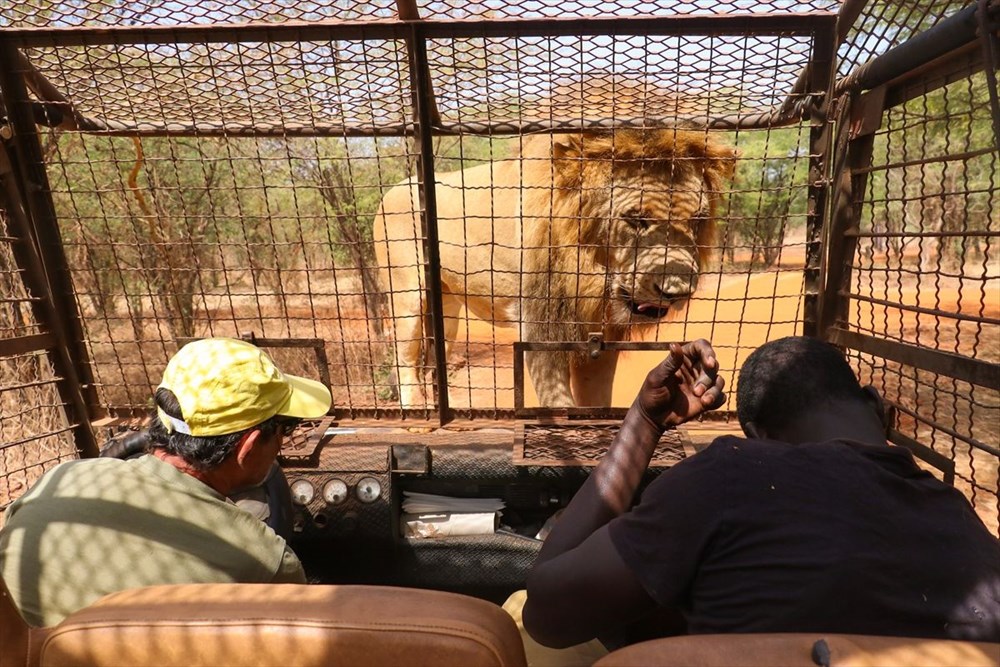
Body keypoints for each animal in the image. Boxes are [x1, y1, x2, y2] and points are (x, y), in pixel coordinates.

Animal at [372, 125, 740, 408]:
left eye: (696, 221)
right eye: (636, 219)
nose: (677, 291)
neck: (592, 277)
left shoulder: (600, 333)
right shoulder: (540, 323)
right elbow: (558, 402)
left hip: (447, 308)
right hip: (407, 295)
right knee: (405, 359)